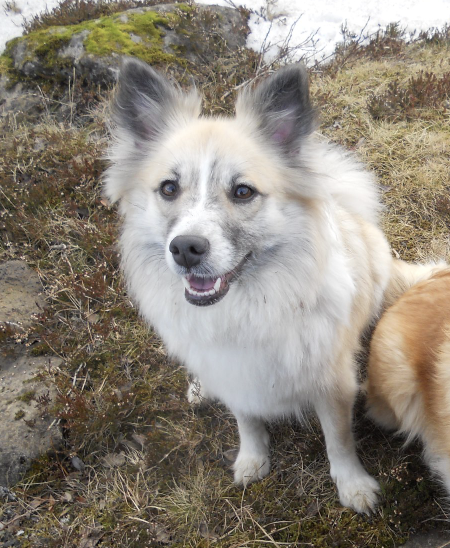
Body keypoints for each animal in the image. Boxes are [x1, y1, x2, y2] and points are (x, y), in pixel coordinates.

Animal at [103, 60, 392, 512]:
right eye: (169, 188)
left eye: (242, 191)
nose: (185, 248)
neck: (248, 307)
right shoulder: (234, 376)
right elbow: (247, 422)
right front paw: (252, 460)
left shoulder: (332, 383)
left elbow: (339, 440)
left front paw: (353, 485)